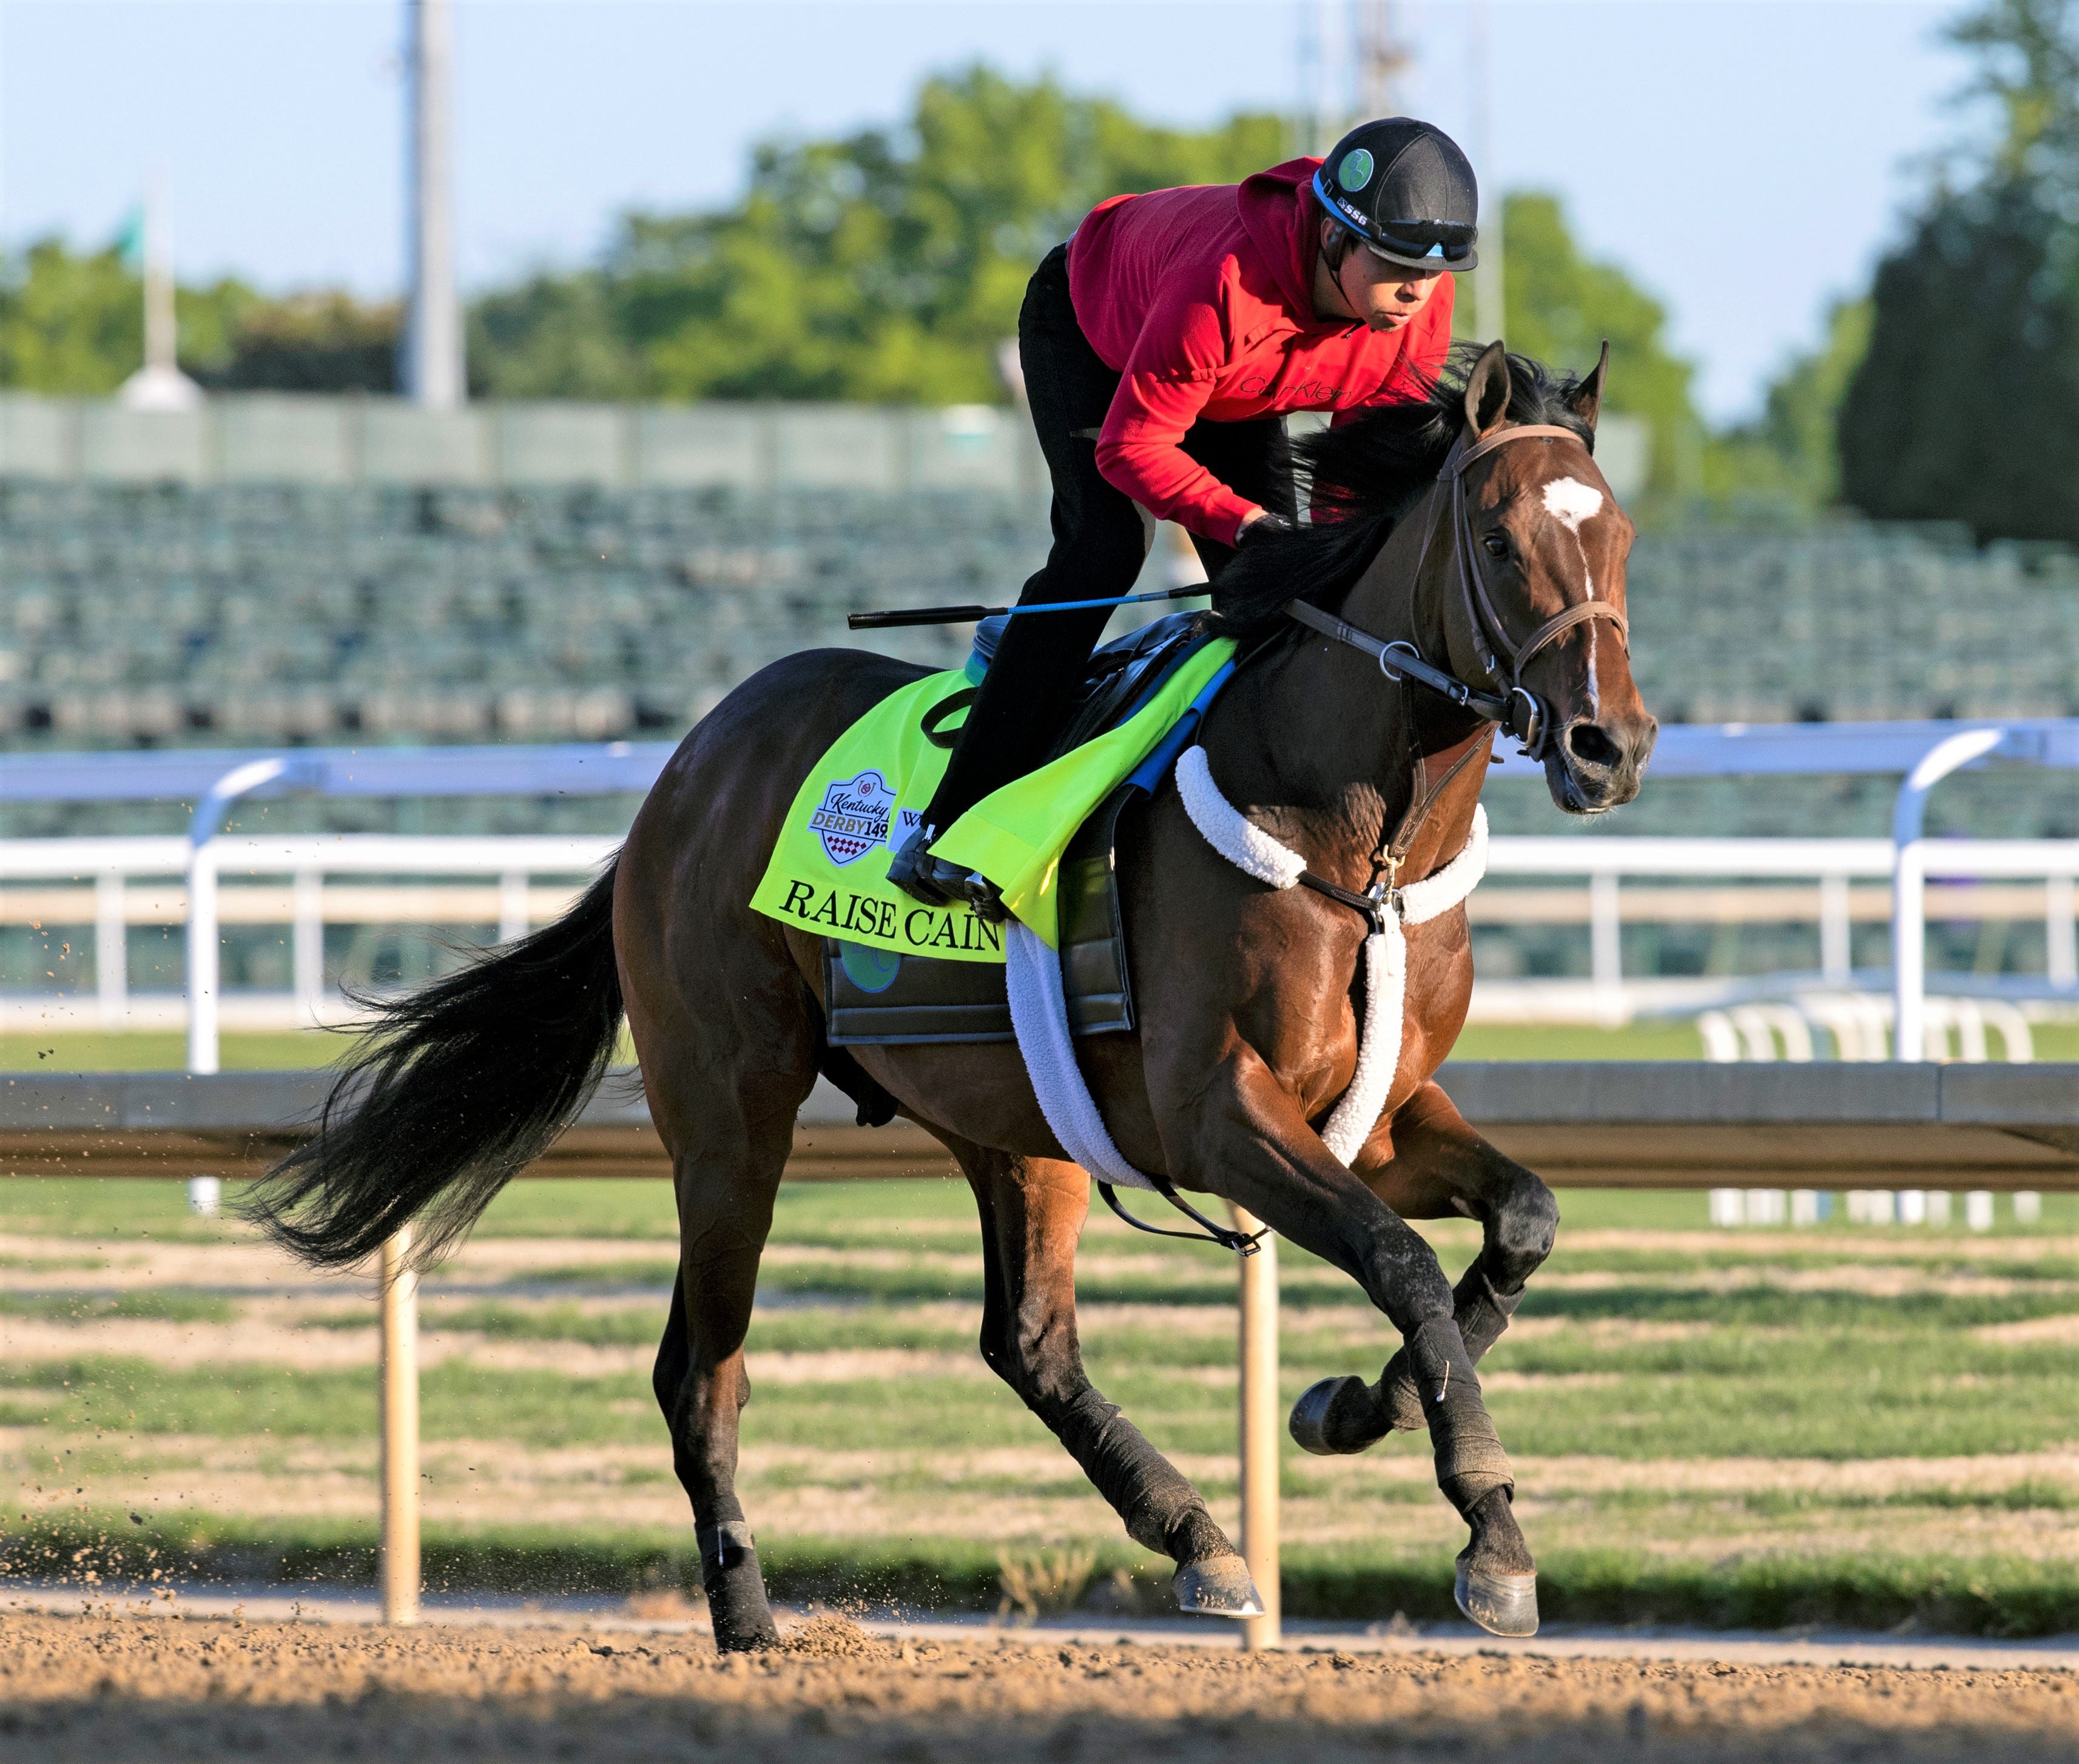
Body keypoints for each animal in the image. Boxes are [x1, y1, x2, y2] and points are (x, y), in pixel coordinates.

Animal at [247, 345, 1654, 1654]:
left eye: (1622, 536)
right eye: (1497, 536)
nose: (1612, 746)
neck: (1354, 834)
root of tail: (682, 773)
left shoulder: (1377, 1107)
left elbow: (1518, 1221)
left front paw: (1357, 1406)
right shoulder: (1220, 1113)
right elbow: (1401, 1258)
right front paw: (1492, 1537)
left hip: (1013, 1120)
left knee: (1024, 1340)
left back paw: (1196, 1535)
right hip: (728, 1118)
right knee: (703, 1373)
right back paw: (748, 1616)